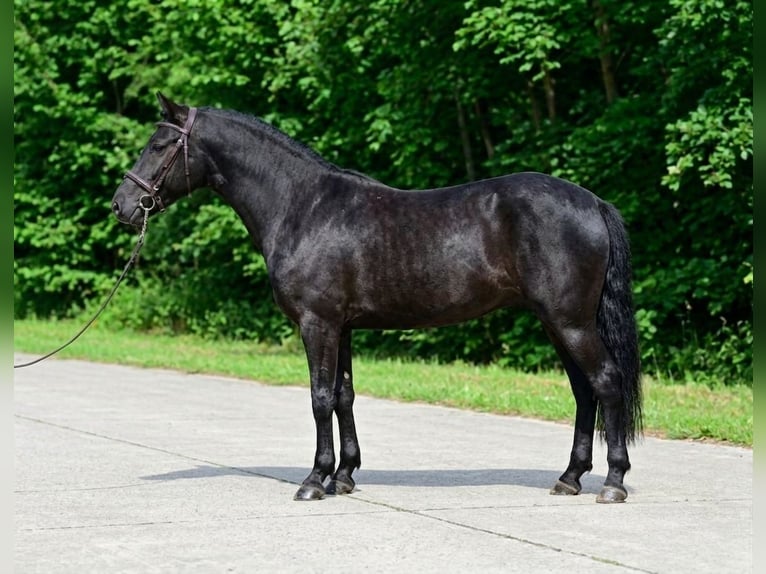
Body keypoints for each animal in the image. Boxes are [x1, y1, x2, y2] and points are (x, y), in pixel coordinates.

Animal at [112, 93, 642, 503]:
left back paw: (612, 482)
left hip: (570, 321)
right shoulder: (341, 326)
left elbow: (320, 398)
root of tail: (593, 202)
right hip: (557, 322)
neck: (302, 207)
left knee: (606, 382)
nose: (121, 206)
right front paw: (343, 476)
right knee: (584, 391)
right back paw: (569, 478)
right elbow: (344, 396)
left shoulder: (318, 323)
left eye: (159, 145)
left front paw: (313, 480)